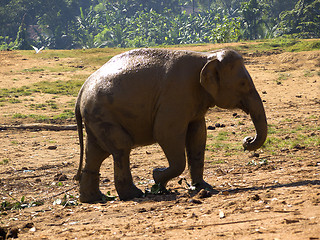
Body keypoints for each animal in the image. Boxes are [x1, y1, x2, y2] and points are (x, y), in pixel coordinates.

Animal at [74, 47, 268, 202]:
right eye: (243, 83)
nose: (247, 141)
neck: (206, 56)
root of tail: (82, 90)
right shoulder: (176, 95)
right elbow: (165, 133)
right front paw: (157, 176)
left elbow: (198, 135)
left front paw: (203, 187)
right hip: (102, 114)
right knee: (121, 147)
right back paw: (134, 195)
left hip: (96, 118)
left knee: (97, 153)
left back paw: (93, 199)